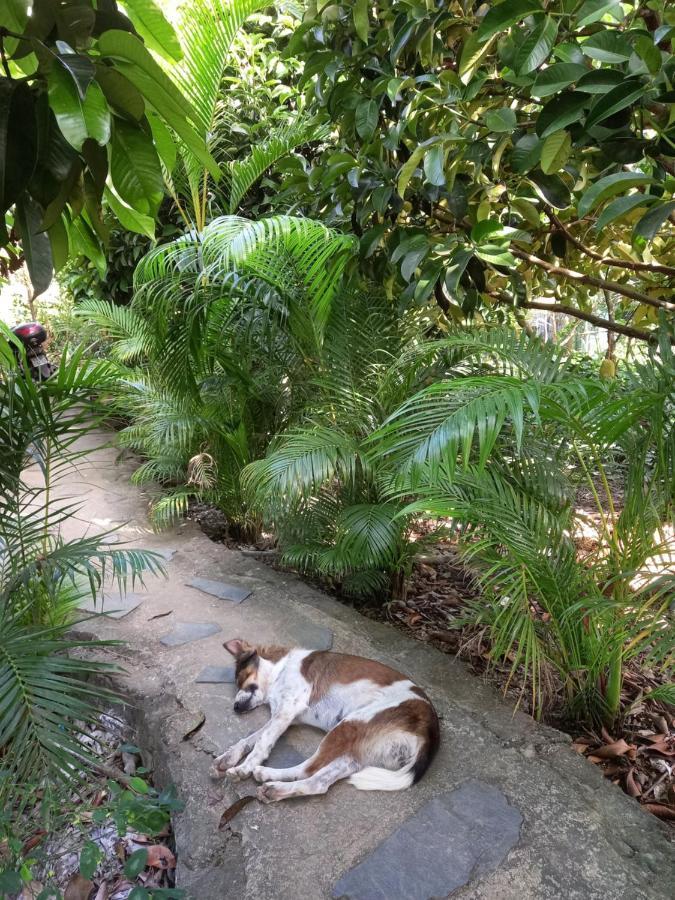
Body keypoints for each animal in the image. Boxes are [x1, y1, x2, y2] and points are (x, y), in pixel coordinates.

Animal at [213, 636, 444, 804]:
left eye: (241, 678)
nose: (235, 707)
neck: (280, 669)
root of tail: (431, 728)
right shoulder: (285, 717)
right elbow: (250, 739)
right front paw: (228, 758)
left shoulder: (287, 711)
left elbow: (261, 743)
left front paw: (243, 768)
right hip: (356, 753)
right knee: (318, 782)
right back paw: (275, 788)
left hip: (350, 724)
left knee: (309, 768)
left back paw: (266, 774)